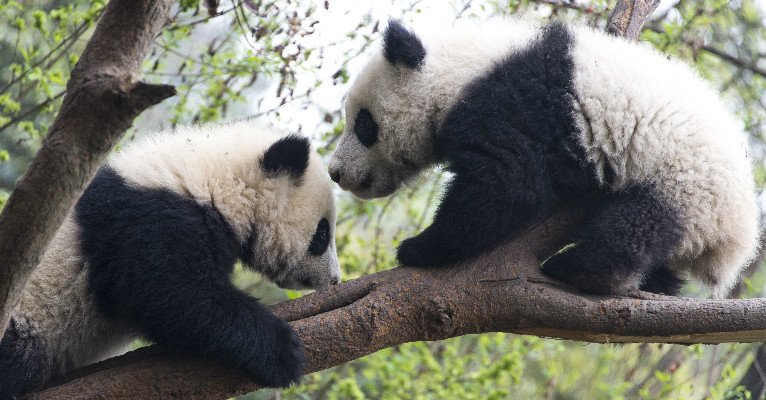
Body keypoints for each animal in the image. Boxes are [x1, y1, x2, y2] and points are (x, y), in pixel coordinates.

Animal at [328, 18, 759, 298]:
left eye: (364, 124)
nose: (335, 172)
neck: (459, 68)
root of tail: (737, 239)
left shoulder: (510, 102)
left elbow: (507, 185)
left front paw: (419, 248)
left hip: (685, 185)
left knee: (636, 226)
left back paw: (578, 268)